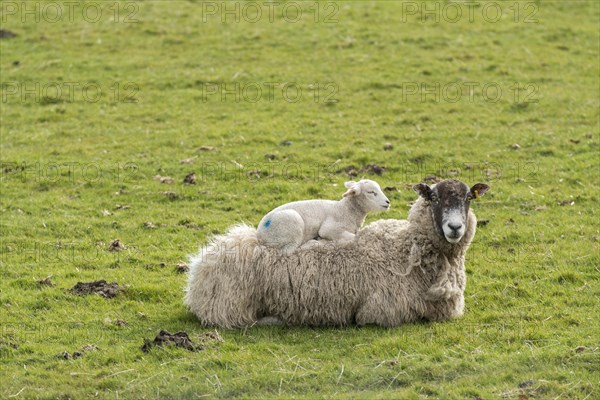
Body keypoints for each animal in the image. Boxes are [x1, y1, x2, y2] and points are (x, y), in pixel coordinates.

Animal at [255, 179, 392, 253]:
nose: (388, 202)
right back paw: (316, 243)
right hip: (291, 226)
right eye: (371, 192)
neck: (346, 210)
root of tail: (259, 235)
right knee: (293, 250)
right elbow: (353, 237)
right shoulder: (329, 228)